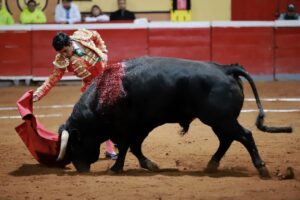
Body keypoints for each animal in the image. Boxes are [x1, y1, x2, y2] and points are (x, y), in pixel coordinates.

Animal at [57, 56, 292, 178]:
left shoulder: (128, 128)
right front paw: (150, 164)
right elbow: (135, 147)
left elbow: (125, 147)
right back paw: (211, 165)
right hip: (219, 121)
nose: (79, 168)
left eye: (74, 144)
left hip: (221, 119)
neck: (104, 94)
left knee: (245, 135)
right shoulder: (141, 127)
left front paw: (116, 169)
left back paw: (262, 168)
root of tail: (226, 69)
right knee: (227, 140)